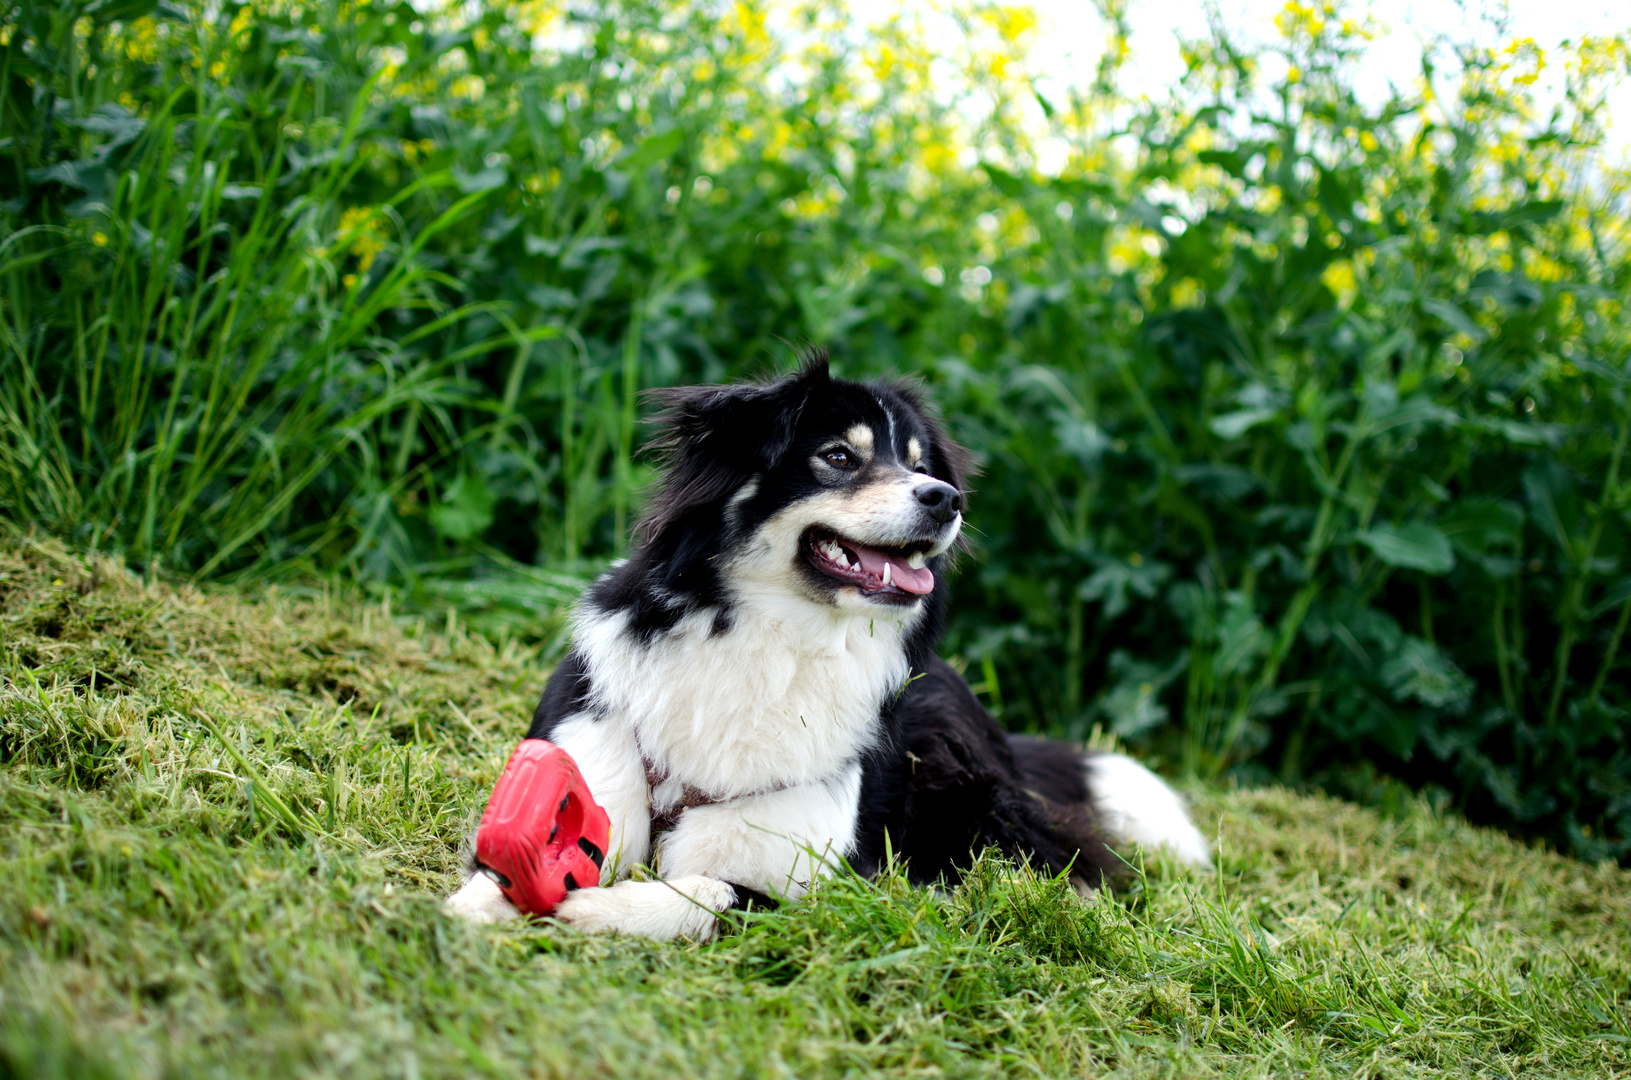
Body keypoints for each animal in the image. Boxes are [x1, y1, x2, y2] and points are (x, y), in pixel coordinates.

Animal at [446, 355, 1213, 939]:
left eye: (919, 463)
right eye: (838, 456)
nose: (946, 498)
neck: (771, 641)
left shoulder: (808, 878)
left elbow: (704, 890)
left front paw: (594, 910)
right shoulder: (591, 758)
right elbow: (505, 866)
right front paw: (478, 906)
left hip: (962, 772)